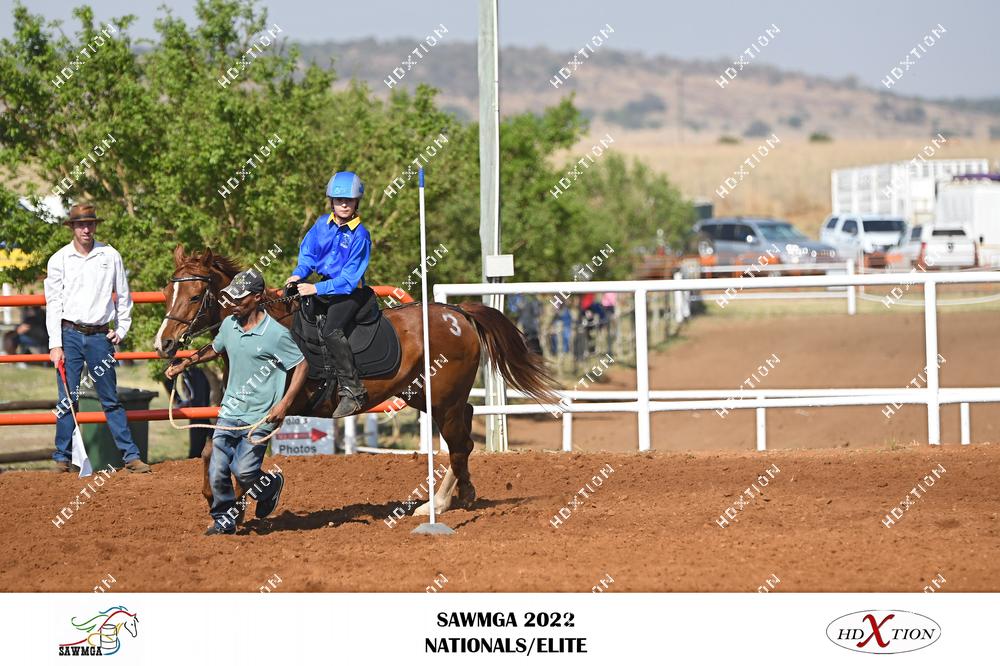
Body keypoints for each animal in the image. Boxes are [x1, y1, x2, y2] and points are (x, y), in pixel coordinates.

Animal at [154, 245, 557, 519]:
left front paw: (240, 504)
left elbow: (242, 459)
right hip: (426, 397)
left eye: (194, 296)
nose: (164, 344)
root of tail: (458, 312)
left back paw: (443, 502)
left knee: (459, 444)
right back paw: (451, 497)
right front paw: (216, 499)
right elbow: (211, 449)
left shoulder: (272, 412)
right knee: (465, 432)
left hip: (442, 401)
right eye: (167, 292)